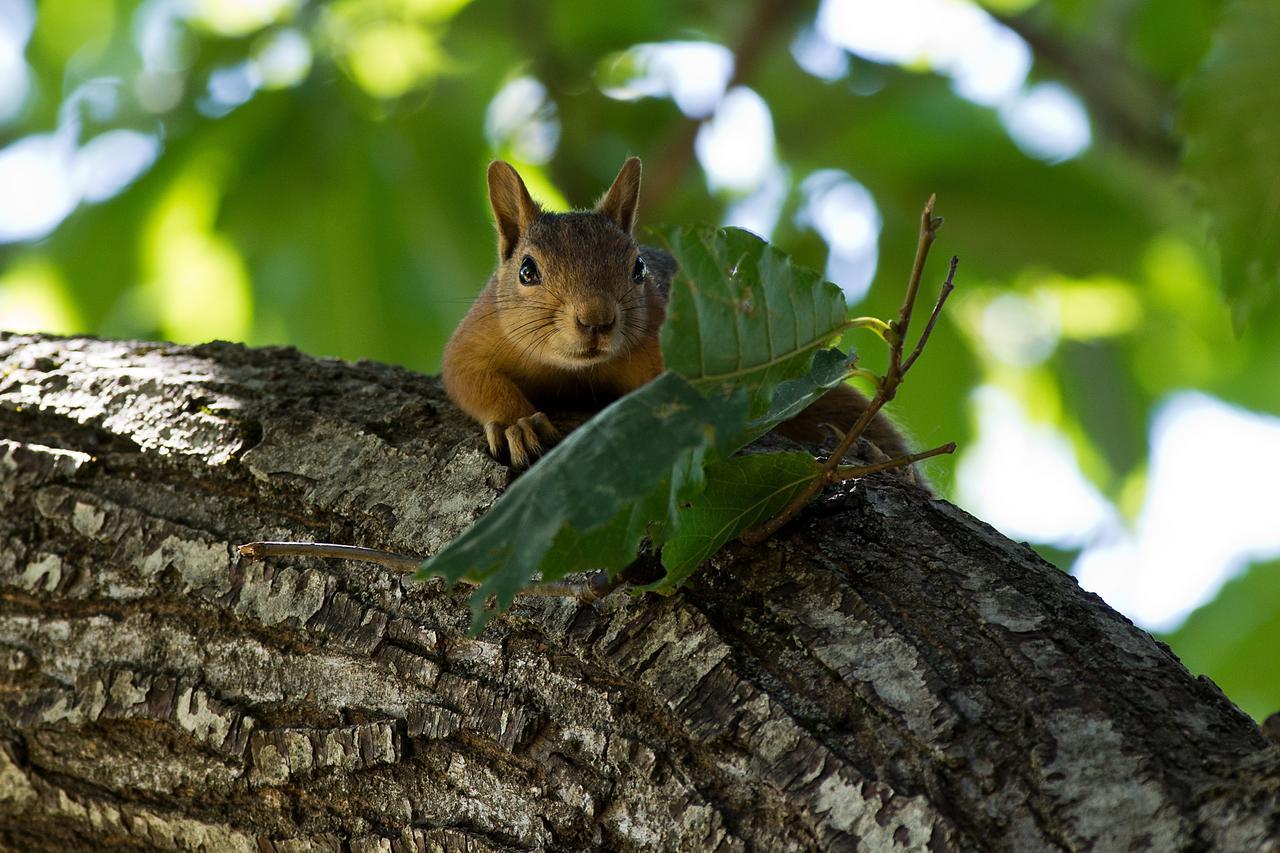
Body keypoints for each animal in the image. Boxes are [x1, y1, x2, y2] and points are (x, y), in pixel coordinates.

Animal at [440, 156, 911, 468]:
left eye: (638, 268)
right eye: (526, 270)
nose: (597, 320)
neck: (572, 372)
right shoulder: (480, 332)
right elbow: (467, 374)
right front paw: (517, 424)